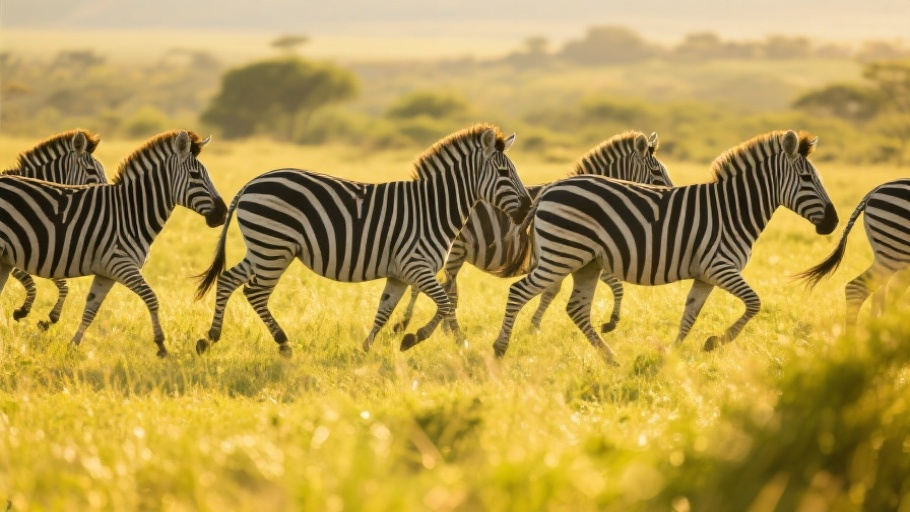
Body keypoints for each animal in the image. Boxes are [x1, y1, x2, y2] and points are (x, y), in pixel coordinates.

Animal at [194, 124, 532, 357]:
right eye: (504, 173)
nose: (529, 207)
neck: (434, 207)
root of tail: (253, 181)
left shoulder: (399, 273)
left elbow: (384, 310)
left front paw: (366, 348)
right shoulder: (417, 266)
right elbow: (447, 303)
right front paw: (424, 339)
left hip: (263, 247)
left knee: (228, 279)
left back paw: (210, 337)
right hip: (275, 247)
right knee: (255, 292)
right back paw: (283, 343)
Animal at [393, 131, 672, 337]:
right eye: (657, 172)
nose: (672, 192)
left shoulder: (561, 258)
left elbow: (550, 292)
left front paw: (533, 326)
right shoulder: (577, 253)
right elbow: (616, 285)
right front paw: (611, 322)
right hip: (453, 252)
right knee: (436, 288)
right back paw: (429, 327)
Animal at [492, 130, 839, 365]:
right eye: (807, 178)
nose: (834, 222)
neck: (732, 210)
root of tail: (549, 190)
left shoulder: (705, 275)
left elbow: (690, 314)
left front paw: (672, 354)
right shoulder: (720, 267)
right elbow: (755, 303)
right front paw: (716, 342)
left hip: (585, 262)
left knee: (576, 309)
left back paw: (611, 358)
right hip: (562, 255)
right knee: (519, 292)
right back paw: (499, 348)